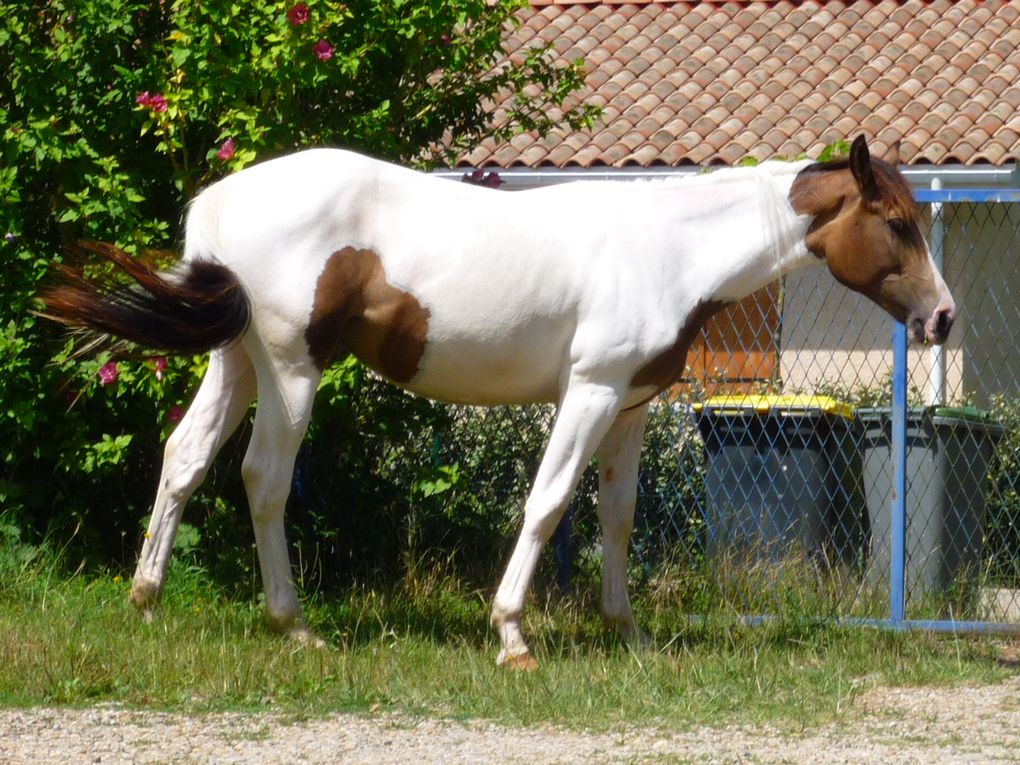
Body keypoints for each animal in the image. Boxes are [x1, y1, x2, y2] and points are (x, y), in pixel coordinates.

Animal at [39, 136, 950, 669]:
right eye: (897, 222)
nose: (941, 317)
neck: (669, 248)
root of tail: (220, 201)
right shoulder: (588, 393)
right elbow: (547, 504)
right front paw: (512, 632)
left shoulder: (630, 409)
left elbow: (617, 517)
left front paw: (627, 630)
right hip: (292, 370)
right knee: (263, 479)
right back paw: (293, 622)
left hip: (236, 361)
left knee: (186, 459)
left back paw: (147, 598)